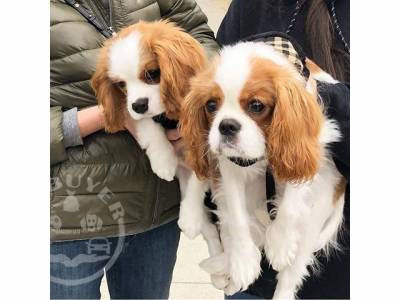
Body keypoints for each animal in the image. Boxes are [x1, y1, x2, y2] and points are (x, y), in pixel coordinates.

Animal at [180, 42, 346, 300]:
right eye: (210, 105)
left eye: (256, 106)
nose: (226, 125)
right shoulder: (230, 166)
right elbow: (237, 218)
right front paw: (244, 263)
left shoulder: (308, 145)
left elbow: (291, 202)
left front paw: (280, 244)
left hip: (312, 223)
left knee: (291, 275)